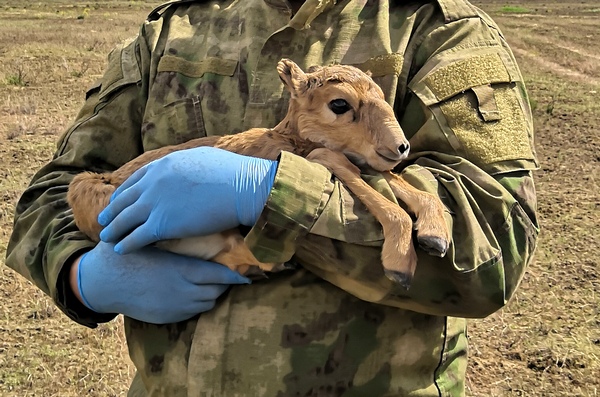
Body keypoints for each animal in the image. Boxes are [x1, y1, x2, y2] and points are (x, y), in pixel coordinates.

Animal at [67, 58, 450, 288]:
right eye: (340, 103)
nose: (400, 146)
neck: (287, 138)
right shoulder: (322, 157)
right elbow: (345, 165)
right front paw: (401, 262)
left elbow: (393, 180)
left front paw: (436, 233)